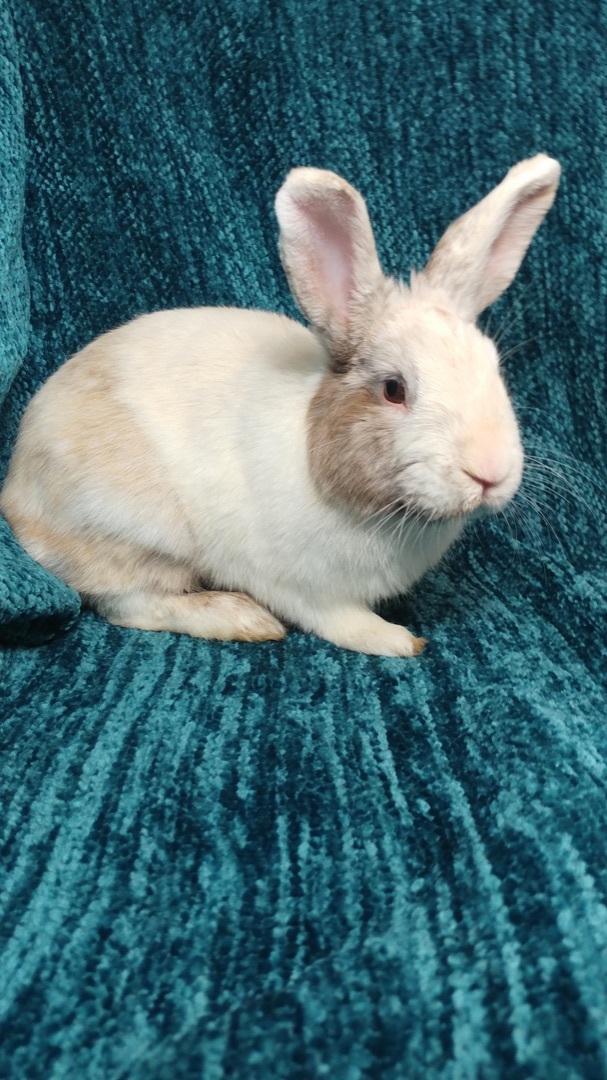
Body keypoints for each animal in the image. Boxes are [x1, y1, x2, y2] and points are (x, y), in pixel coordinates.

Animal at [1, 154, 560, 656]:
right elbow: (341, 621)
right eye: (394, 389)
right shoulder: (303, 587)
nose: (490, 472)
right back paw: (240, 618)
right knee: (130, 603)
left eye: (494, 369)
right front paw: (396, 640)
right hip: (130, 533)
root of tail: (16, 491)